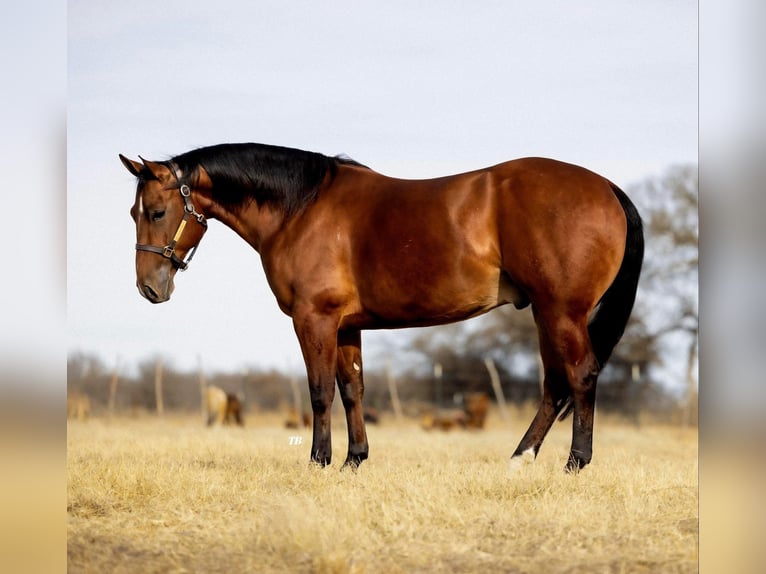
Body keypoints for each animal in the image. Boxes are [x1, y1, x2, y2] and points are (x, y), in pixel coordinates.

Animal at [120, 143, 644, 472]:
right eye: (133, 212)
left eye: (158, 212)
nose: (149, 288)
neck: (301, 209)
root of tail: (607, 188)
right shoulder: (347, 325)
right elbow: (353, 389)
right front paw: (354, 459)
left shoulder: (315, 319)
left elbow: (319, 391)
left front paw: (318, 461)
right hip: (545, 311)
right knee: (556, 383)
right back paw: (521, 458)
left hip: (561, 311)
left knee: (580, 375)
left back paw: (574, 462)